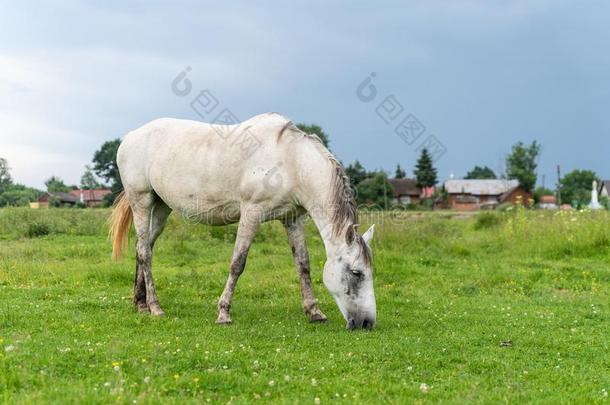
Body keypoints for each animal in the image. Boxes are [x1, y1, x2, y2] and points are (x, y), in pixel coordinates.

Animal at [110, 110, 376, 328]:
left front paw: (314, 312)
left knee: (143, 248)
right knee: (145, 252)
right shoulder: (252, 213)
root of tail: (130, 137)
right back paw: (155, 308)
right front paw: (223, 313)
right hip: (142, 201)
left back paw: (140, 304)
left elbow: (303, 264)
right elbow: (238, 263)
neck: (290, 160)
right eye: (356, 273)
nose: (367, 323)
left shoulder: (293, 218)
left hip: (161, 207)